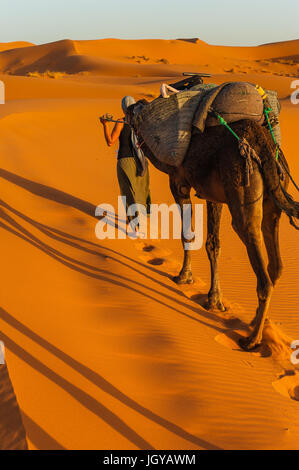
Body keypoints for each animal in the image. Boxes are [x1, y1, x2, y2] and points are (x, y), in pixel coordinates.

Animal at [127, 104, 299, 350]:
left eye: (134, 111)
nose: (128, 109)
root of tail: (264, 147)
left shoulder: (178, 181)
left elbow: (188, 234)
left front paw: (183, 276)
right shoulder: (213, 197)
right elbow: (213, 243)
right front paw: (214, 299)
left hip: (243, 196)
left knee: (262, 272)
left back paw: (252, 339)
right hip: (274, 200)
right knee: (275, 265)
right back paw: (257, 321)